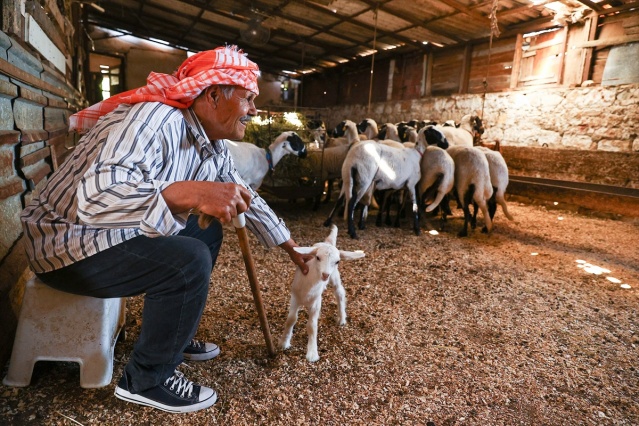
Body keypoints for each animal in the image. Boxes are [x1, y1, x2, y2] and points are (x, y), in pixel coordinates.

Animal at [278, 225, 364, 362]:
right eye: (317, 258)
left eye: (337, 261)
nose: (325, 275)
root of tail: (328, 243)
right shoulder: (295, 297)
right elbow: (291, 319)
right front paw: (283, 342)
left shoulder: (316, 301)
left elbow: (312, 325)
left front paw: (312, 353)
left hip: (334, 276)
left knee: (339, 292)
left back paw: (342, 318)